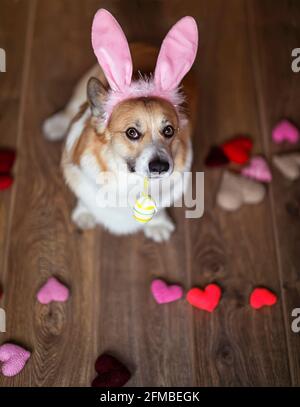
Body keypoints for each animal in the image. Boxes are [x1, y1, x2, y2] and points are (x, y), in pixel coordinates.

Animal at [41, 7, 197, 242]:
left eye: (169, 130)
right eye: (132, 132)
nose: (160, 167)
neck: (131, 180)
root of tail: (147, 44)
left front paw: (159, 224)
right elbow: (84, 197)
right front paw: (85, 213)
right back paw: (55, 125)